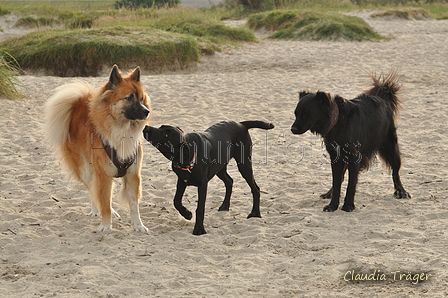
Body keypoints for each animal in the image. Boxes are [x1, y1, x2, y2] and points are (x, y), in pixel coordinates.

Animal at [44, 65, 151, 233]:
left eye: (141, 98)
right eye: (129, 98)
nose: (146, 111)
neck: (122, 132)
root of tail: (76, 105)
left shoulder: (133, 174)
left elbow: (134, 205)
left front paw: (138, 225)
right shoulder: (104, 174)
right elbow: (105, 202)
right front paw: (106, 225)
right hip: (85, 169)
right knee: (93, 191)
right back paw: (96, 210)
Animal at [145, 120, 274, 234]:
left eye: (166, 134)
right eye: (161, 127)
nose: (146, 127)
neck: (187, 158)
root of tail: (241, 123)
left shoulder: (203, 184)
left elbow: (200, 208)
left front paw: (199, 229)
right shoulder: (182, 180)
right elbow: (176, 201)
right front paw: (187, 214)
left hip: (244, 165)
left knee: (255, 188)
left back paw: (255, 213)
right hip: (220, 168)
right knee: (230, 181)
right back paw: (225, 206)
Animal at [290, 71, 410, 212]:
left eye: (306, 112)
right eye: (296, 113)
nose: (292, 129)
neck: (338, 122)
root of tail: (382, 96)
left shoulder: (354, 158)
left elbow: (351, 184)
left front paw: (348, 205)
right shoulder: (336, 158)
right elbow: (337, 182)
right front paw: (333, 205)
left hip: (390, 147)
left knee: (395, 171)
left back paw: (401, 191)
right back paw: (329, 192)